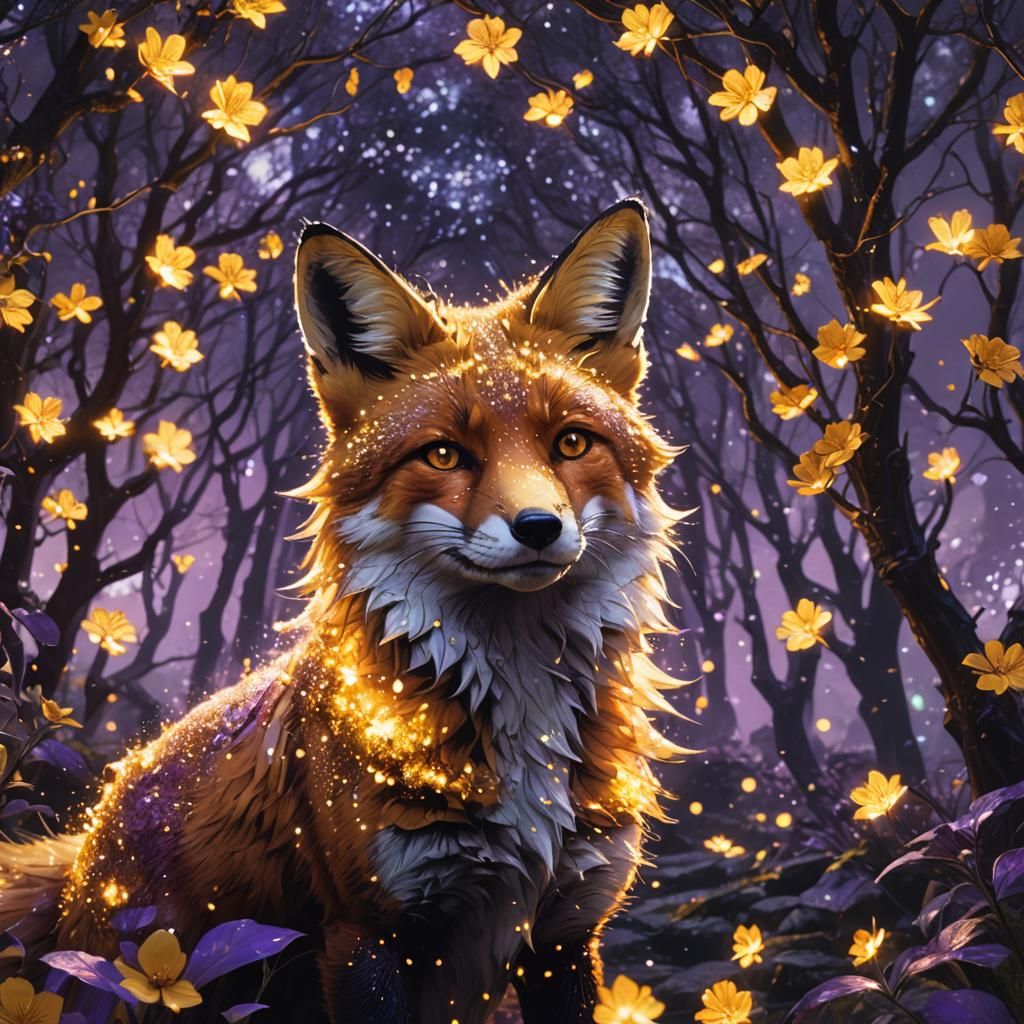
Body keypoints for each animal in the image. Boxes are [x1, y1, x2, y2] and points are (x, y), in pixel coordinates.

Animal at [0, 198, 686, 1023]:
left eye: (572, 443)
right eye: (444, 455)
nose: (538, 527)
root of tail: (84, 846)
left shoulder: (565, 935)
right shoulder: (368, 935)